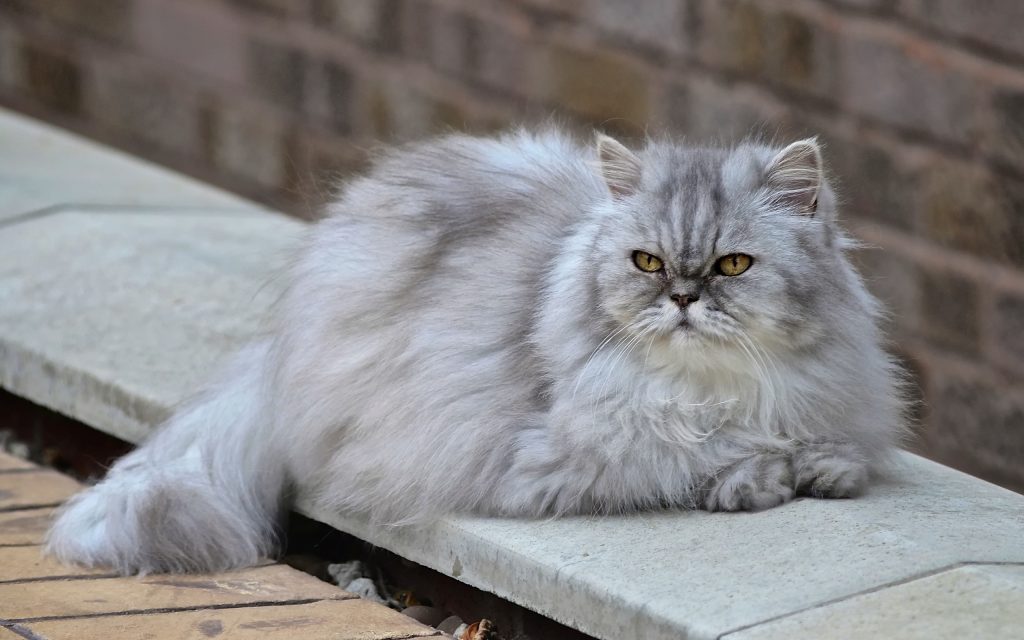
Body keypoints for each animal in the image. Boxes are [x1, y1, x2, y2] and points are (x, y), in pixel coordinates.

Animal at [46, 128, 905, 573]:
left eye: (731, 266)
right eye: (647, 262)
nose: (684, 299)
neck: (710, 386)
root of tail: (283, 341)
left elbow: (832, 448)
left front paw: (821, 468)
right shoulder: (570, 456)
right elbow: (697, 453)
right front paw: (760, 477)